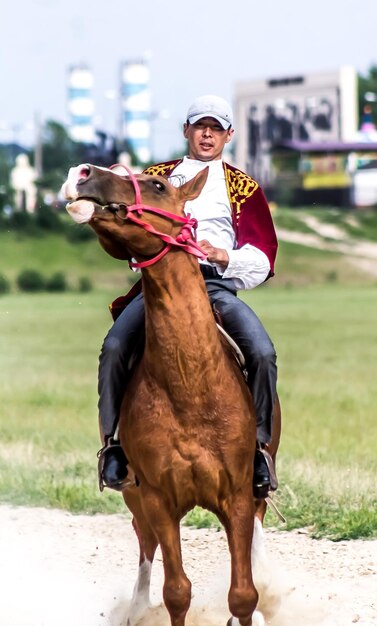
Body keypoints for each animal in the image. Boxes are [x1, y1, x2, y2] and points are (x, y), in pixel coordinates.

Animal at [62, 162, 280, 624]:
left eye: (158, 185)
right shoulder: (158, 498)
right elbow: (177, 592)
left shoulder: (237, 496)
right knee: (144, 544)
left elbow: (243, 593)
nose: (82, 172)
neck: (190, 385)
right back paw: (137, 607)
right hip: (134, 496)